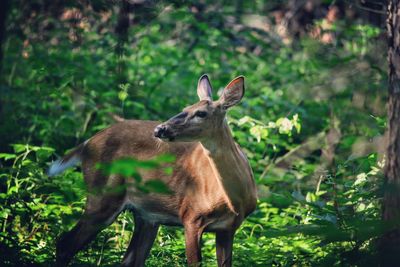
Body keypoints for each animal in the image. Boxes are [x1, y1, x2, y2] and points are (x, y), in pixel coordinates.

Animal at [48, 75, 258, 267]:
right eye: (184, 109)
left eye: (201, 113)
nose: (160, 129)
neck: (233, 200)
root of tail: (86, 144)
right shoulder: (191, 216)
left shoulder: (228, 228)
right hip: (103, 195)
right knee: (64, 244)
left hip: (146, 215)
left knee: (128, 259)